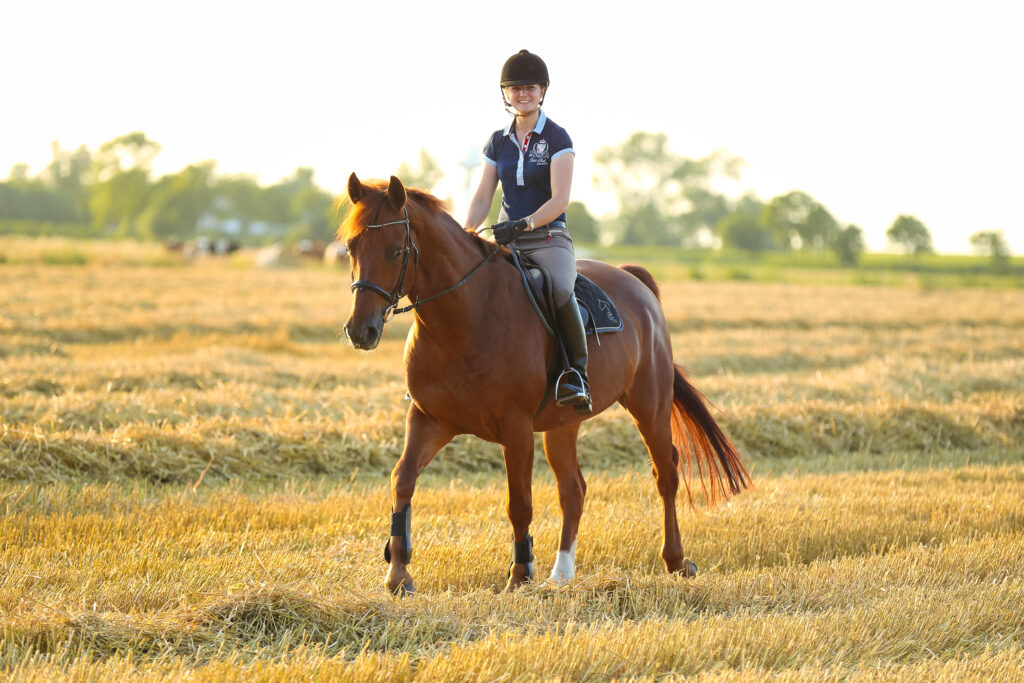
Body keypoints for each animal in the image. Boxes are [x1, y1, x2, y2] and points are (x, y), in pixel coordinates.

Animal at [341, 174, 750, 594]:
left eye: (395, 250)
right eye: (351, 247)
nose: (360, 331)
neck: (464, 316)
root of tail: (634, 281)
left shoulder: (516, 428)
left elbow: (519, 502)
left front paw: (520, 575)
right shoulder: (428, 419)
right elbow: (402, 480)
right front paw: (398, 571)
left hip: (649, 405)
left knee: (665, 472)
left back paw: (676, 560)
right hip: (563, 424)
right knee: (573, 489)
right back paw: (562, 572)